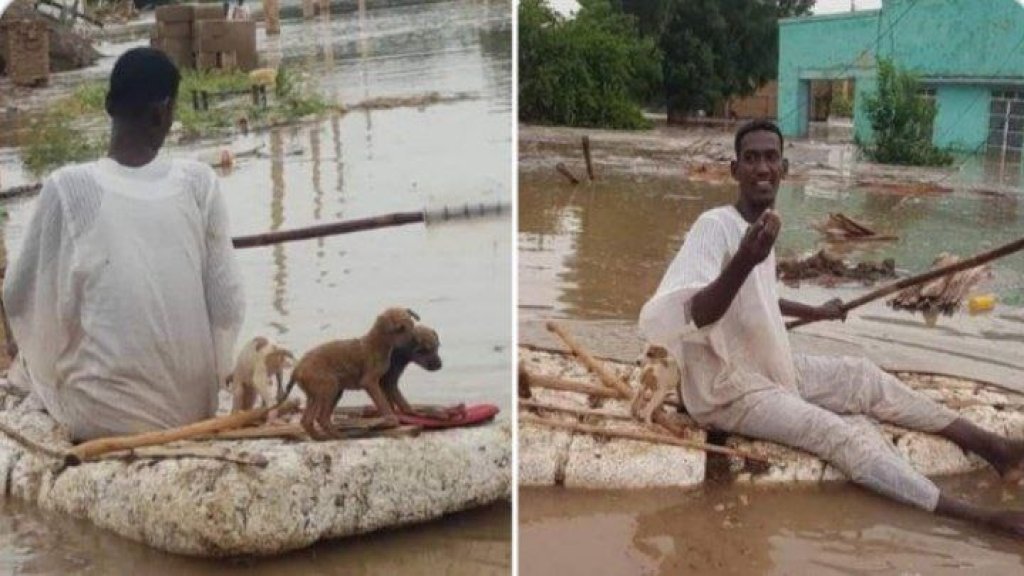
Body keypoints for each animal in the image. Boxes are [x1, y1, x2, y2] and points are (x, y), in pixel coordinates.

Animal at [280, 307, 415, 436]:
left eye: (412, 324)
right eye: (401, 328)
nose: (413, 342)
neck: (376, 344)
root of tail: (297, 369)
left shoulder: (380, 382)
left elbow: (387, 400)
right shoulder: (370, 382)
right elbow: (383, 403)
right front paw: (391, 419)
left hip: (320, 394)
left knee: (308, 420)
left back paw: (325, 437)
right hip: (328, 388)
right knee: (320, 418)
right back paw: (337, 436)